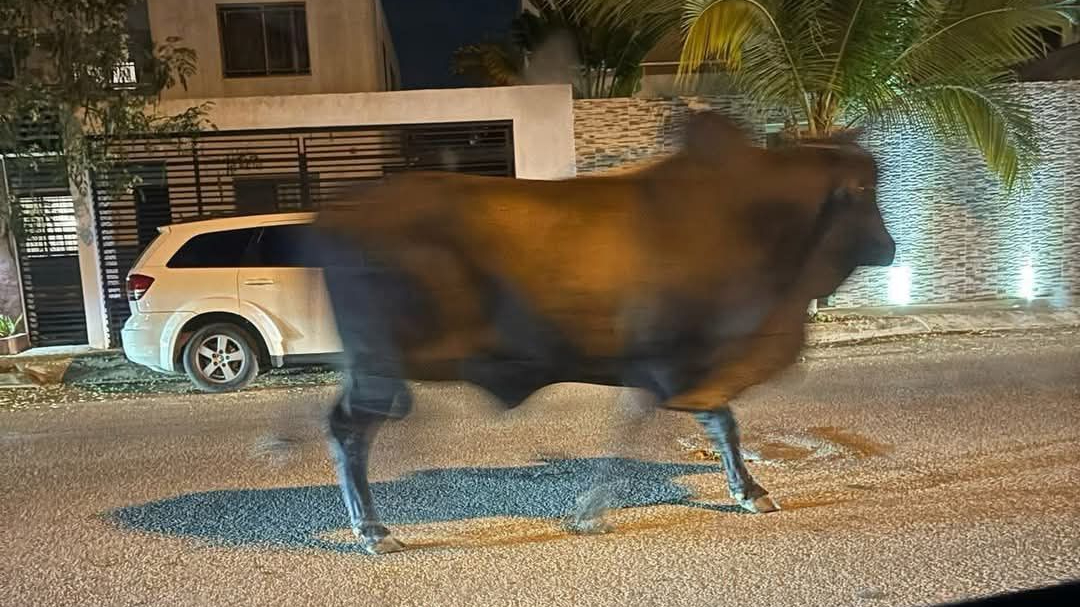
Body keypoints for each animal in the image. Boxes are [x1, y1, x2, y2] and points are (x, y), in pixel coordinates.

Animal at [300, 112, 889, 552]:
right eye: (863, 189)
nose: (890, 249)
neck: (750, 220)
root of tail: (336, 214)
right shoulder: (675, 362)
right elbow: (697, 424)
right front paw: (593, 511)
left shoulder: (668, 370)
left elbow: (707, 424)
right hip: (380, 369)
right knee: (349, 430)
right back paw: (373, 530)